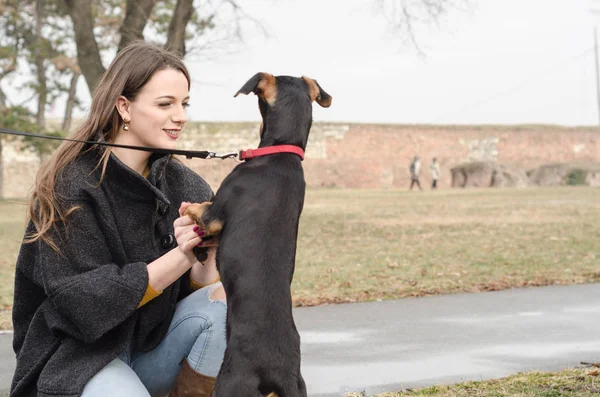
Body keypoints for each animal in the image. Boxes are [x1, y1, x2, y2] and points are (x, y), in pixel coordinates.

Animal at [185, 72, 330, 396]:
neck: (282, 152)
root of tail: (279, 373)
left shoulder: (215, 216)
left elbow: (197, 210)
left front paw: (186, 207)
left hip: (229, 384)